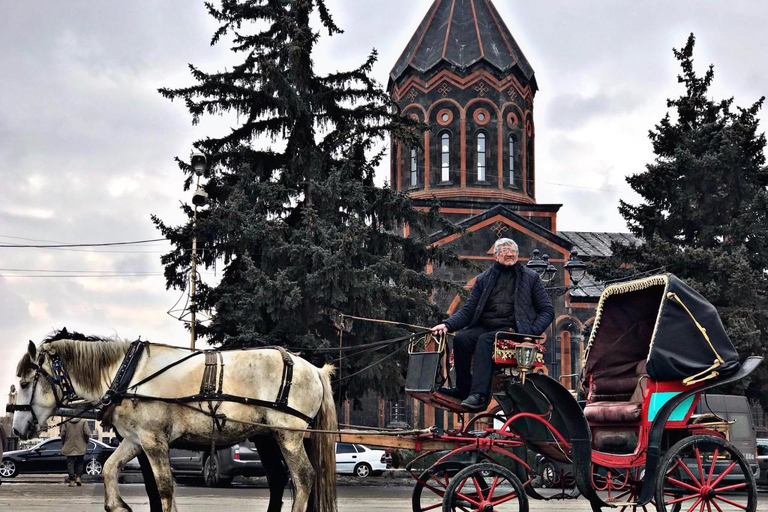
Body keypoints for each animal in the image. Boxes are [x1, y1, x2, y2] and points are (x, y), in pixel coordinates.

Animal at [12, 332, 336, 512]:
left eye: (26, 382)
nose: (17, 428)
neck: (126, 375)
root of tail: (314, 369)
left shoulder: (154, 441)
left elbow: (164, 487)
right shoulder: (135, 439)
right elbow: (109, 468)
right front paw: (118, 505)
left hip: (287, 434)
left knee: (304, 477)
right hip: (267, 436)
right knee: (280, 479)